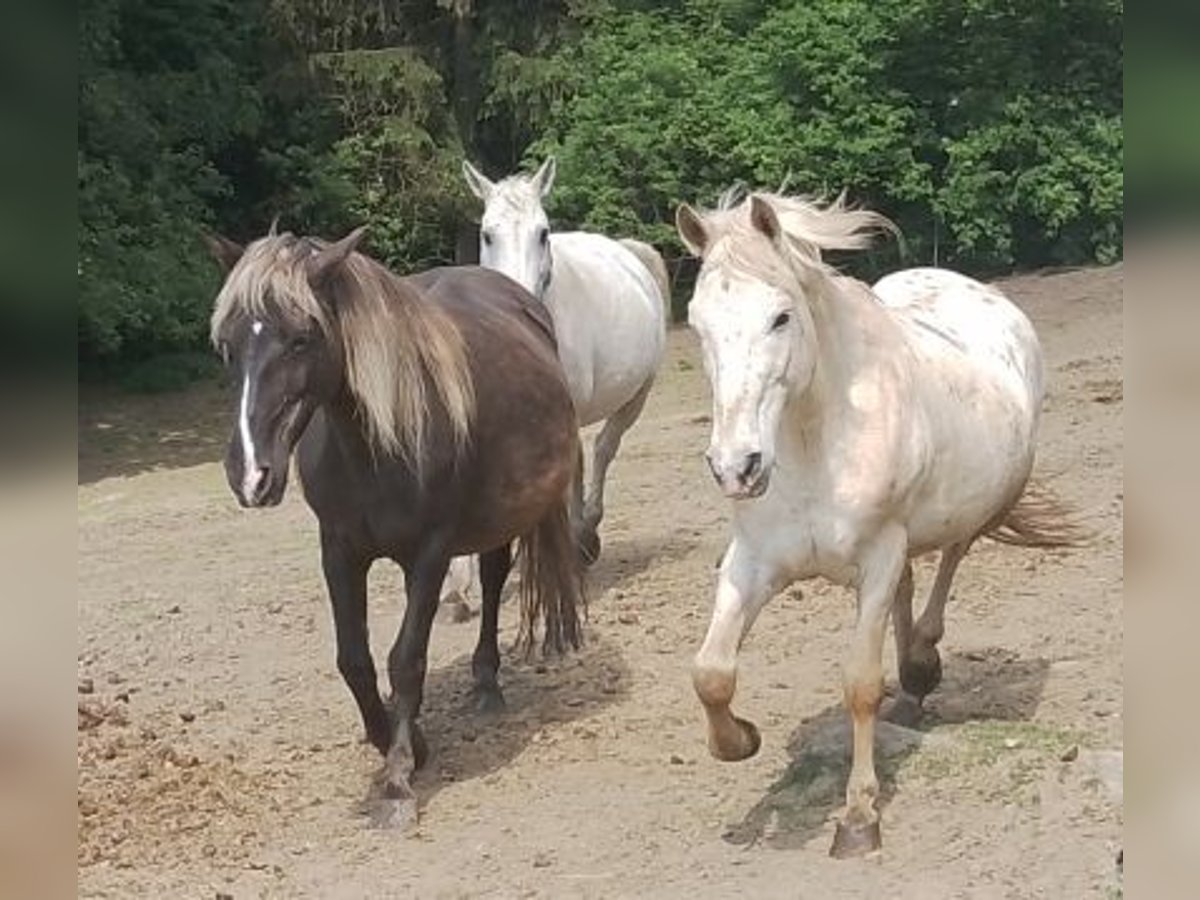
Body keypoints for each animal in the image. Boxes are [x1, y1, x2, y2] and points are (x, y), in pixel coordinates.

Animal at [676, 188, 1080, 859]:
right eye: (698, 324)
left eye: (781, 317)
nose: (736, 467)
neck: (814, 444)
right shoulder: (753, 562)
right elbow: (711, 673)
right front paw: (741, 740)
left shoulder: (877, 555)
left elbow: (861, 684)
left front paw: (860, 816)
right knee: (910, 590)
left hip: (964, 512)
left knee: (946, 567)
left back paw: (920, 667)